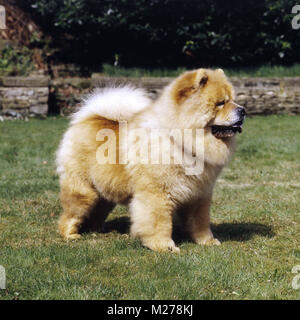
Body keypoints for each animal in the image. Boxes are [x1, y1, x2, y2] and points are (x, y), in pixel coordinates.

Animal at [55, 68, 244, 252]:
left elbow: (200, 222)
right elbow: (159, 222)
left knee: (97, 211)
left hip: (105, 192)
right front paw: (164, 246)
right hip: (84, 188)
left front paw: (207, 241)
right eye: (221, 103)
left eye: (233, 100)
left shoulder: (199, 195)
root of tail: (89, 117)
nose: (242, 110)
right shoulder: (157, 194)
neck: (180, 142)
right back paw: (70, 234)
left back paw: (96, 230)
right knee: (71, 212)